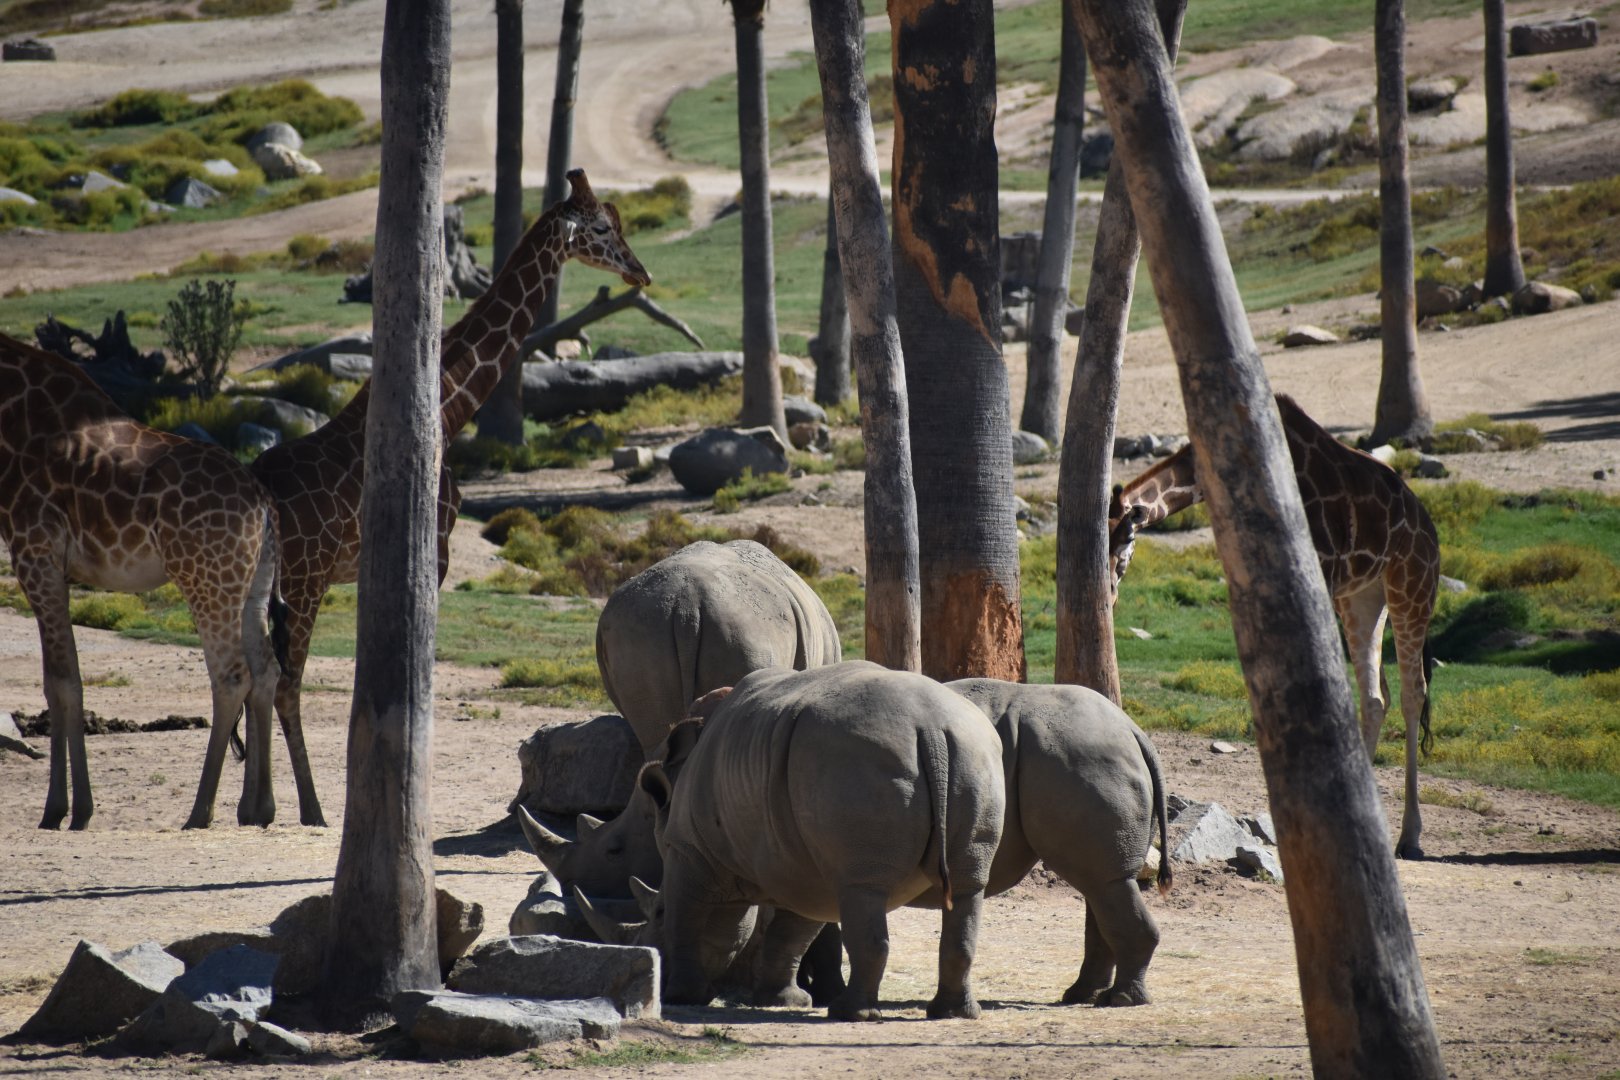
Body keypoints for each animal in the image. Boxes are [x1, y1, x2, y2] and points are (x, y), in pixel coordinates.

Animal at [0, 332, 287, 831]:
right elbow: (65, 679)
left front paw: (62, 811)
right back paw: (256, 809)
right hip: (251, 584)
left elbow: (61, 681)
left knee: (232, 677)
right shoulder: (52, 566)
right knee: (266, 670)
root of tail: (262, 502)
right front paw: (75, 809)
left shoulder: (33, 555)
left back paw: (199, 812)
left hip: (206, 580)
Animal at [250, 168, 650, 826]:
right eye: (599, 228)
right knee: (283, 684)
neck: (450, 409)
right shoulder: (434, 549)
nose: (640, 272)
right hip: (303, 581)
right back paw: (309, 809)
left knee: (249, 675)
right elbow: (417, 681)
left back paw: (252, 808)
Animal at [637, 662, 1006, 1021]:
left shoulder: (688, 849)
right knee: (967, 886)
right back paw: (953, 1013)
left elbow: (684, 919)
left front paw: (682, 996)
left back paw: (850, 1013)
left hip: (857, 759)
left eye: (656, 913)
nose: (660, 980)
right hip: (974, 755)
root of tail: (930, 726)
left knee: (863, 888)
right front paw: (785, 1001)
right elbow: (792, 932)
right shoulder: (803, 862)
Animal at [1107, 394, 1441, 859]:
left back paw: (1409, 836)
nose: (1107, 594)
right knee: (1376, 696)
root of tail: (1430, 528)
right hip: (1362, 596)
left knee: (1412, 693)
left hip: (1410, 585)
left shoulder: (1323, 571)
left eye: (1123, 542)